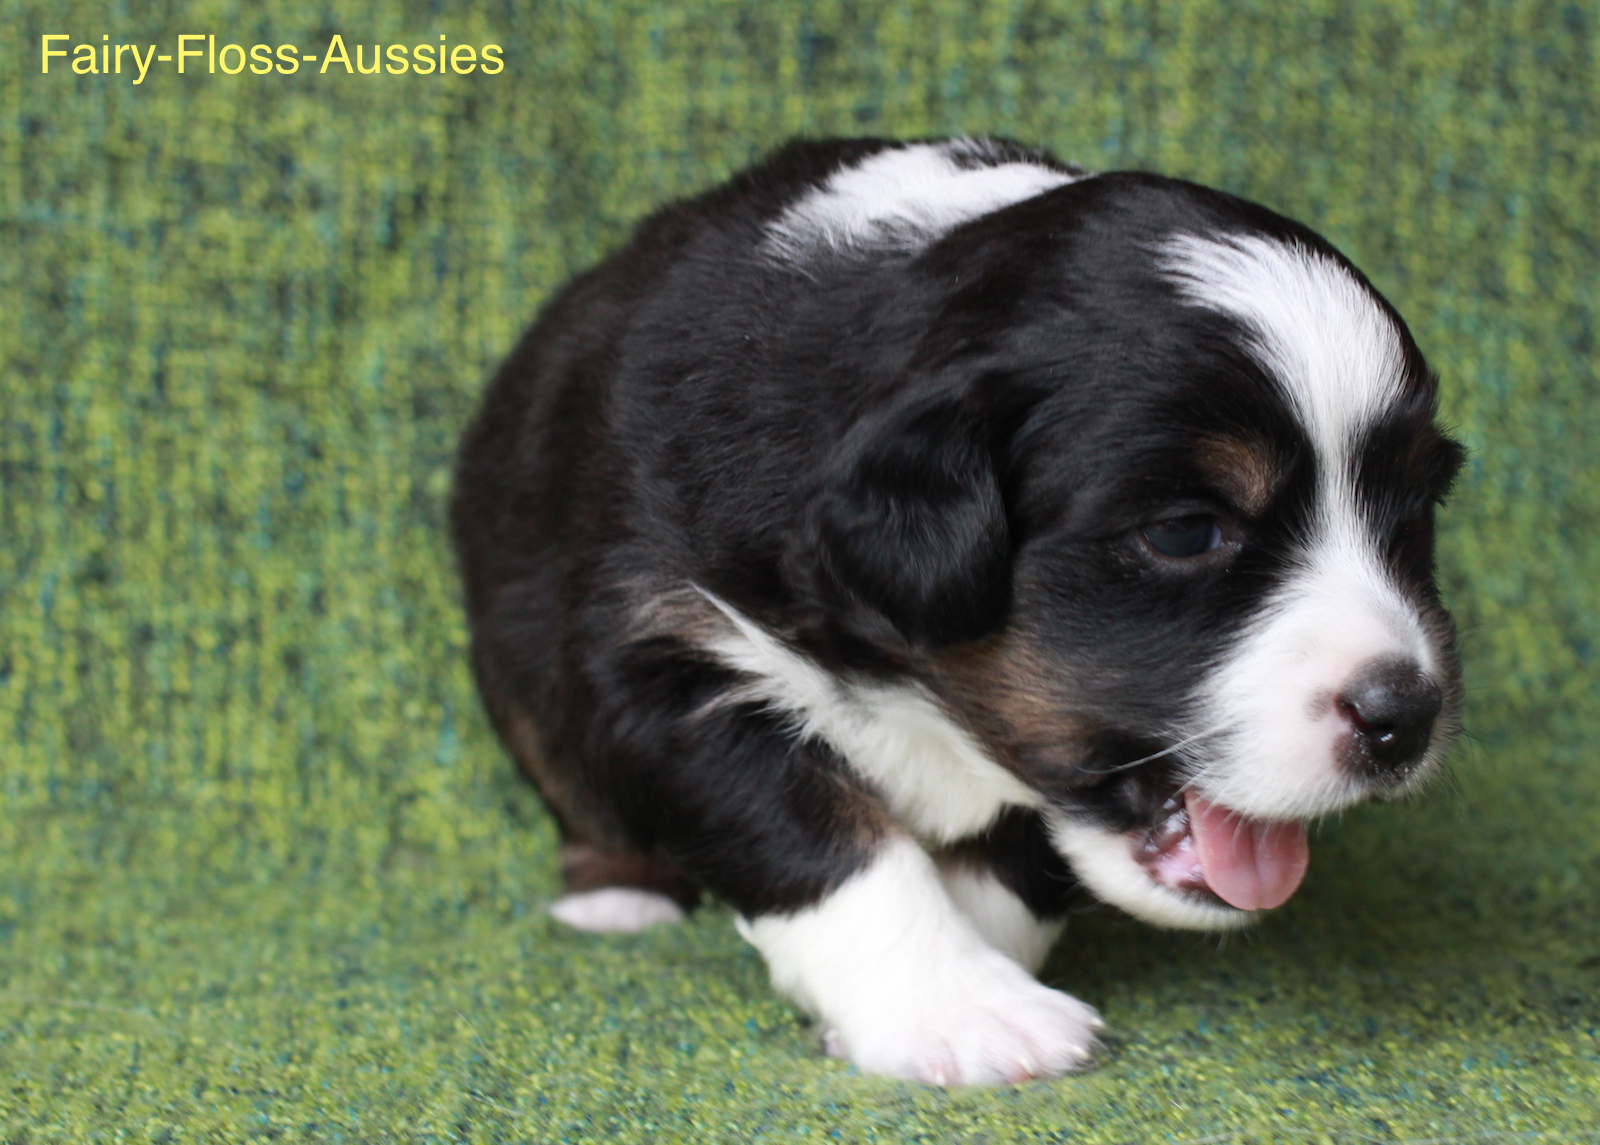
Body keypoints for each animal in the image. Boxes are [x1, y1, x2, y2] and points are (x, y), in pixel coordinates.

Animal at [448, 138, 1465, 1087]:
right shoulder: (659, 651)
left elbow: (1017, 860)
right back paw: (616, 894)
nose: (1406, 718)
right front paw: (958, 1010)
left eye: (1415, 513)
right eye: (1185, 532)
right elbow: (819, 837)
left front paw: (977, 967)